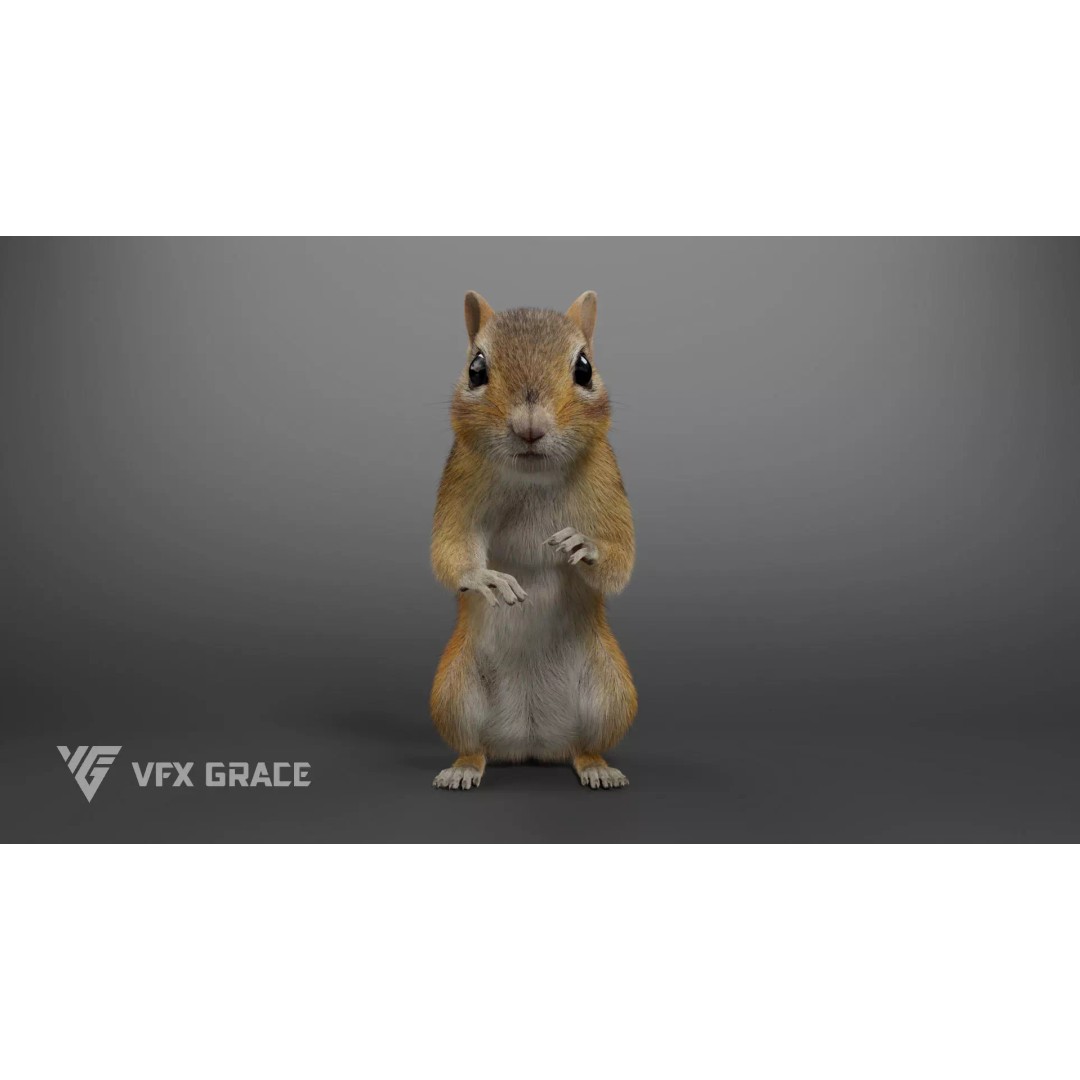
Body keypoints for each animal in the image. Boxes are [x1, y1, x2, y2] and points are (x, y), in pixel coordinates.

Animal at [429, 290, 637, 791]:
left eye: (584, 368)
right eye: (475, 369)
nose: (529, 427)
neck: (532, 477)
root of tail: (531, 743)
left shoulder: (607, 482)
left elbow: (622, 554)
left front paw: (587, 547)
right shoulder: (460, 483)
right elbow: (450, 543)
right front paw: (483, 578)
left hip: (612, 693)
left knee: (586, 745)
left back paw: (597, 767)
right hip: (453, 693)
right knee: (473, 746)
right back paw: (463, 768)